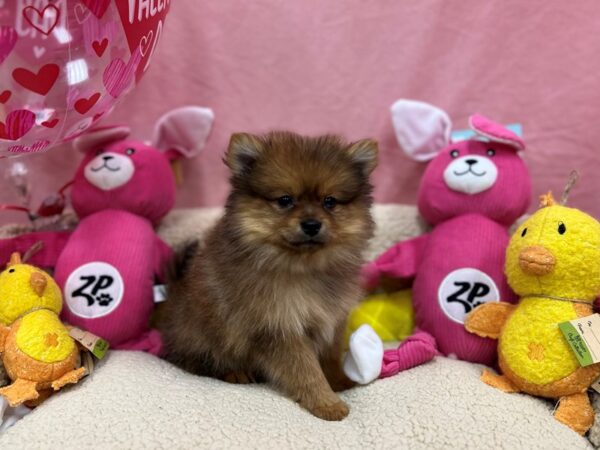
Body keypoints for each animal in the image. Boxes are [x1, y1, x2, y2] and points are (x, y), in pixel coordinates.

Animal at [158, 131, 376, 422]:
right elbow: (306, 369)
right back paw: (235, 372)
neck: (303, 268)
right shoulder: (278, 327)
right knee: (195, 362)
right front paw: (326, 402)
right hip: (201, 337)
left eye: (329, 201)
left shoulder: (331, 318)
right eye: (285, 200)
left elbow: (329, 355)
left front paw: (339, 380)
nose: (311, 224)